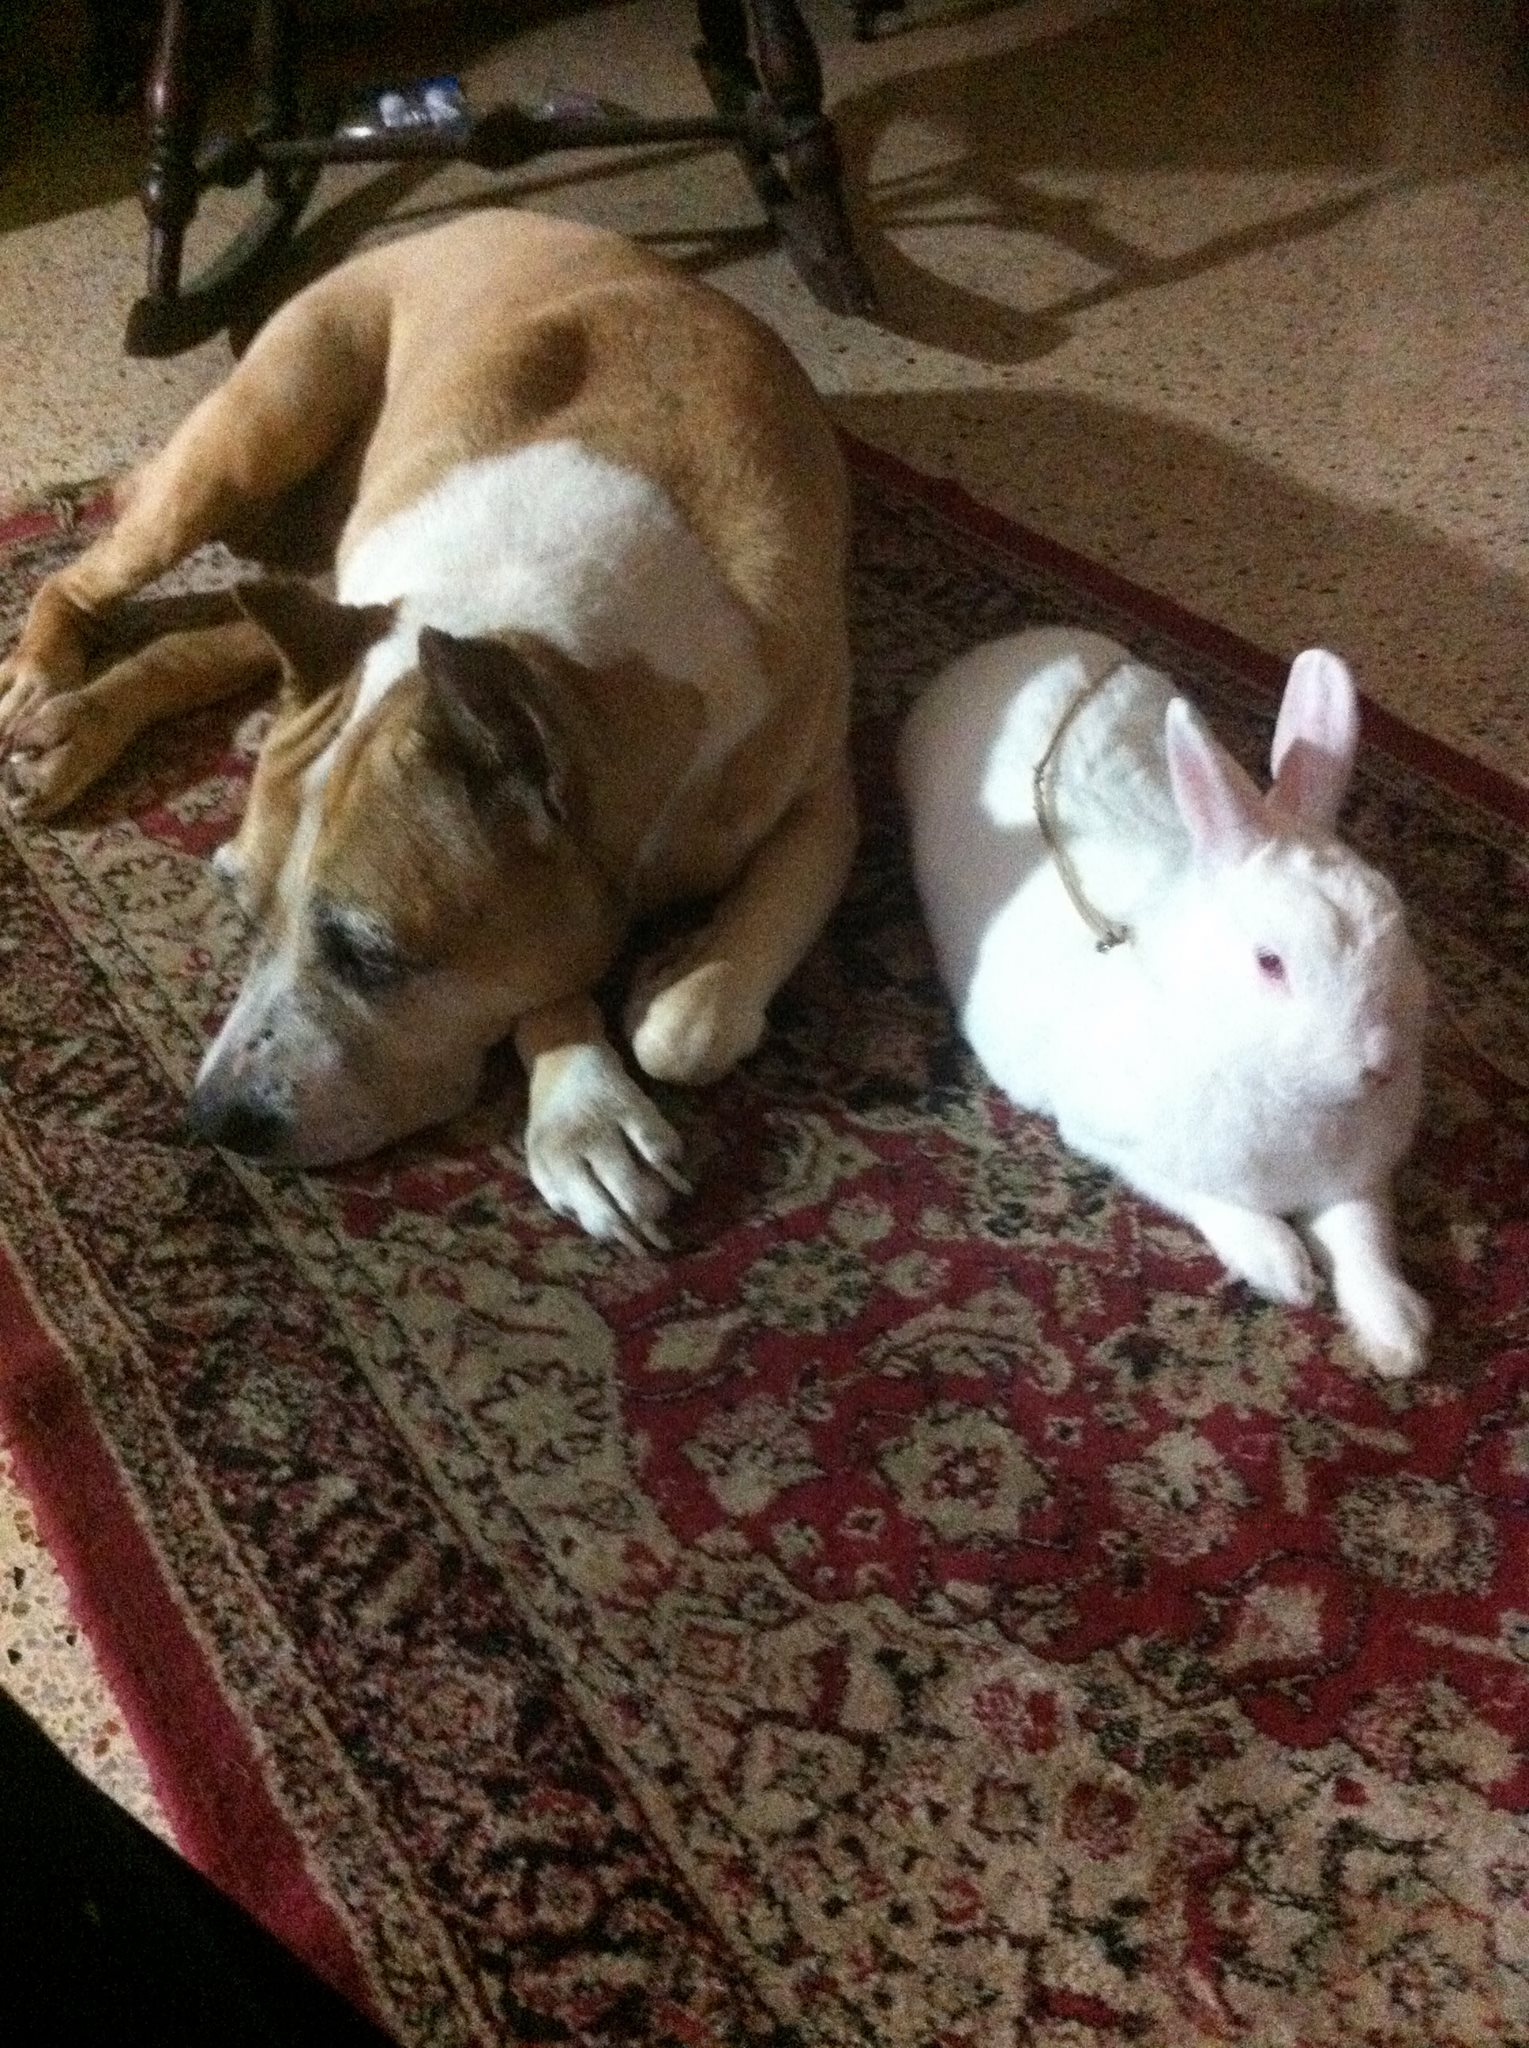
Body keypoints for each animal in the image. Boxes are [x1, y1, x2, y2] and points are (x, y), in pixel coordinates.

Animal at [898, 626, 1431, 1380]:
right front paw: (1282, 1270)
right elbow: (1215, 1203)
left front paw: (1398, 1337)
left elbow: (1362, 1239)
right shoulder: (1115, 1143)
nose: (1377, 1065)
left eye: (1397, 923)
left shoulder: (1356, 1178)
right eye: (1270, 962)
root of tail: (1019, 643)